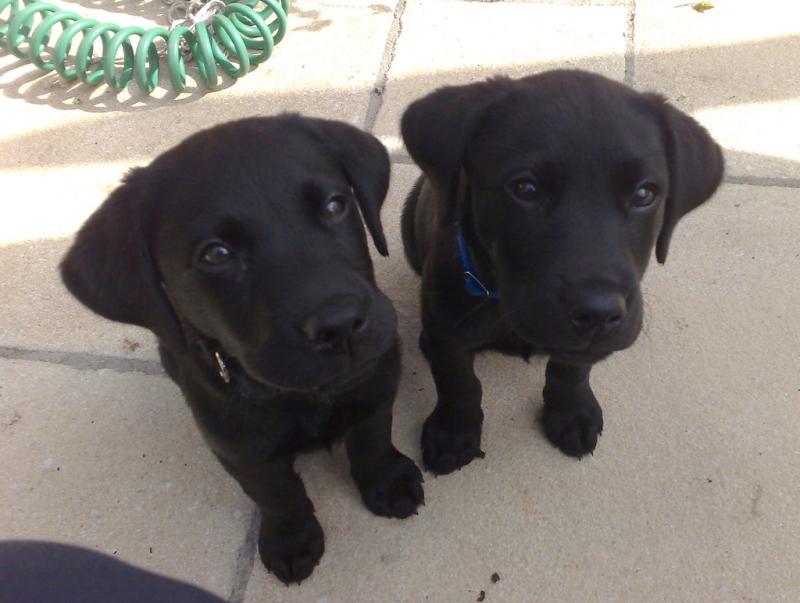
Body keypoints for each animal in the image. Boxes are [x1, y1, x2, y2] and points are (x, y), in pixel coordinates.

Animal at [61, 115, 424, 588]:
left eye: (334, 206)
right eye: (216, 254)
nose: (341, 323)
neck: (305, 397)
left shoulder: (376, 386)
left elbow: (372, 439)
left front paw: (388, 482)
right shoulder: (240, 448)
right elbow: (278, 494)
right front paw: (290, 539)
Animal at [400, 71, 724, 474]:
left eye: (644, 194)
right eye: (525, 188)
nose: (598, 313)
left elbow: (570, 369)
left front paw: (571, 412)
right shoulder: (449, 330)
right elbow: (459, 381)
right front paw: (453, 432)